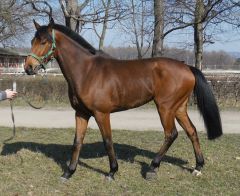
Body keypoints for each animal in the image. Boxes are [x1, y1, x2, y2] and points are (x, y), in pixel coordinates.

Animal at [23, 18, 222, 181]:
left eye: (44, 41)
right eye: (32, 41)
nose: (28, 67)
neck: (87, 71)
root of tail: (187, 67)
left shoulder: (102, 114)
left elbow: (108, 140)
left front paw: (112, 171)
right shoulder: (81, 113)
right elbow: (77, 141)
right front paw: (68, 172)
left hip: (165, 108)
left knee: (171, 134)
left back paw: (152, 168)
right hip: (179, 108)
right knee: (192, 131)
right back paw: (198, 167)